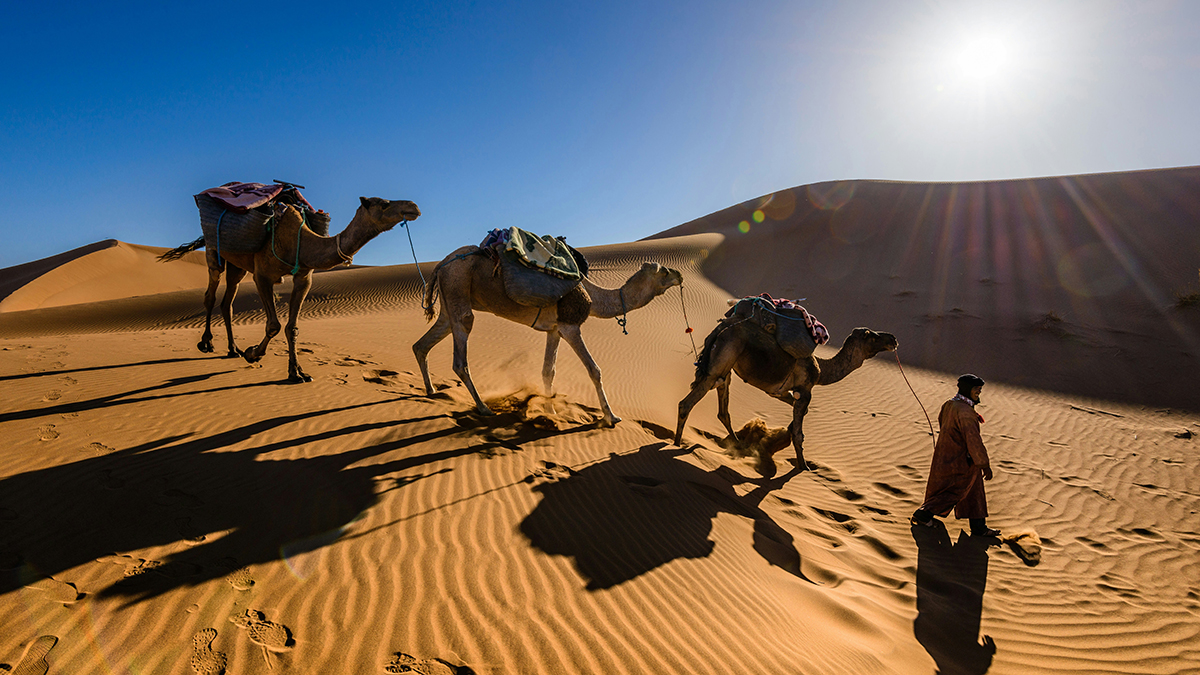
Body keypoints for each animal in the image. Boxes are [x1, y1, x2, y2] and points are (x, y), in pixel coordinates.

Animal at [158, 196, 422, 381]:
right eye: (385, 204)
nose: (414, 207)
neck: (300, 241)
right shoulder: (262, 275)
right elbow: (273, 325)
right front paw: (253, 354)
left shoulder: (304, 277)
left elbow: (292, 327)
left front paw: (297, 373)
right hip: (215, 252)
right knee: (210, 295)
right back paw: (207, 343)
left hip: (237, 265)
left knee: (227, 302)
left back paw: (233, 349)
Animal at [417, 246, 686, 425]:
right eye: (663, 272)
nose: (679, 274)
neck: (594, 296)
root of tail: (441, 265)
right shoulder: (570, 326)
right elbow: (594, 369)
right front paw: (611, 416)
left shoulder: (554, 330)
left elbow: (549, 371)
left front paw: (551, 411)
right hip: (457, 286)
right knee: (460, 357)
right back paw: (483, 408)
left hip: (448, 303)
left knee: (422, 344)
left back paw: (432, 391)